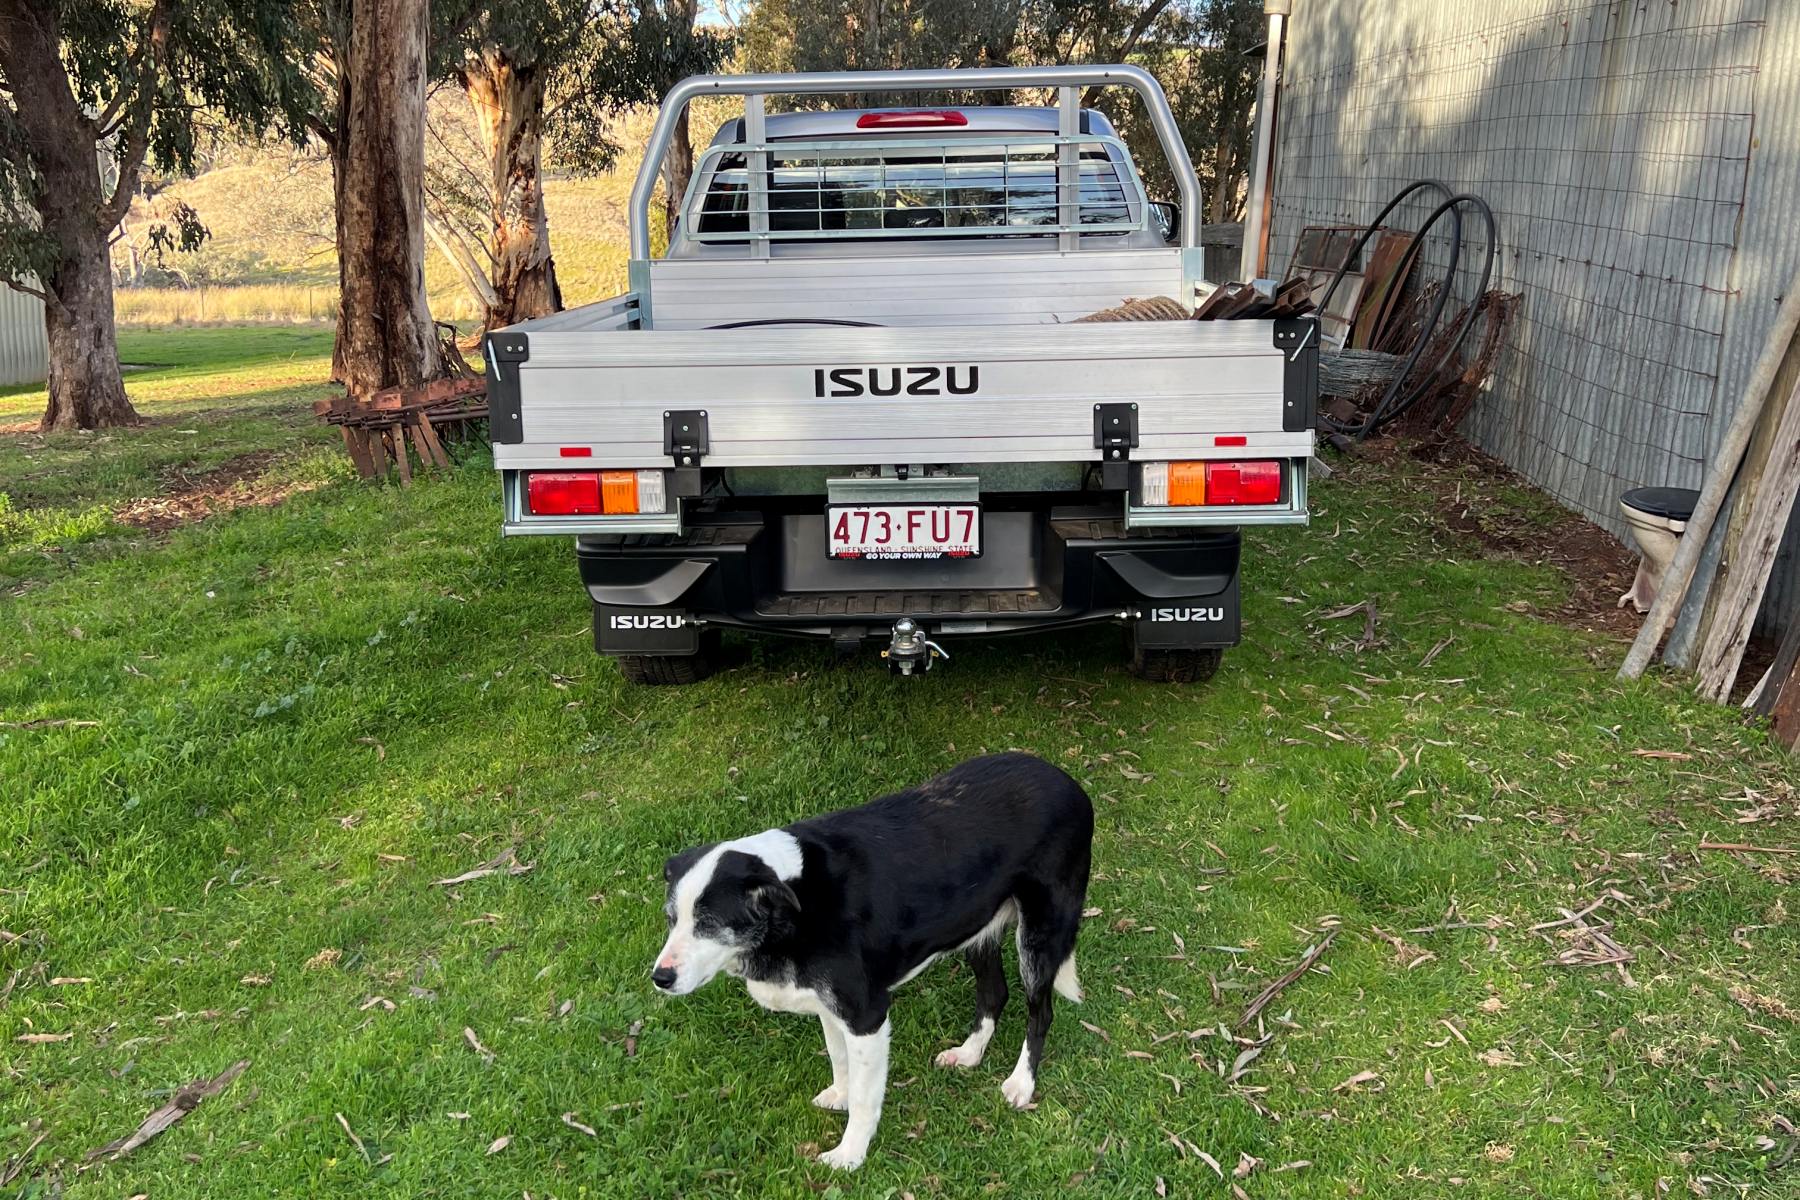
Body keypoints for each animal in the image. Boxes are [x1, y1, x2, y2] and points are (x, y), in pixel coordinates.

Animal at [651, 755, 1087, 1165]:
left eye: (708, 923)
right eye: (672, 918)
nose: (660, 977)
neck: (798, 903)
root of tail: (1066, 781)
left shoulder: (866, 1015)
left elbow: (864, 1098)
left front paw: (849, 1155)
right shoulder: (830, 1007)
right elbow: (839, 1060)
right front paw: (840, 1095)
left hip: (1039, 935)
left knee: (1040, 1011)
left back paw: (1021, 1083)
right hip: (978, 928)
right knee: (994, 993)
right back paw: (968, 1053)